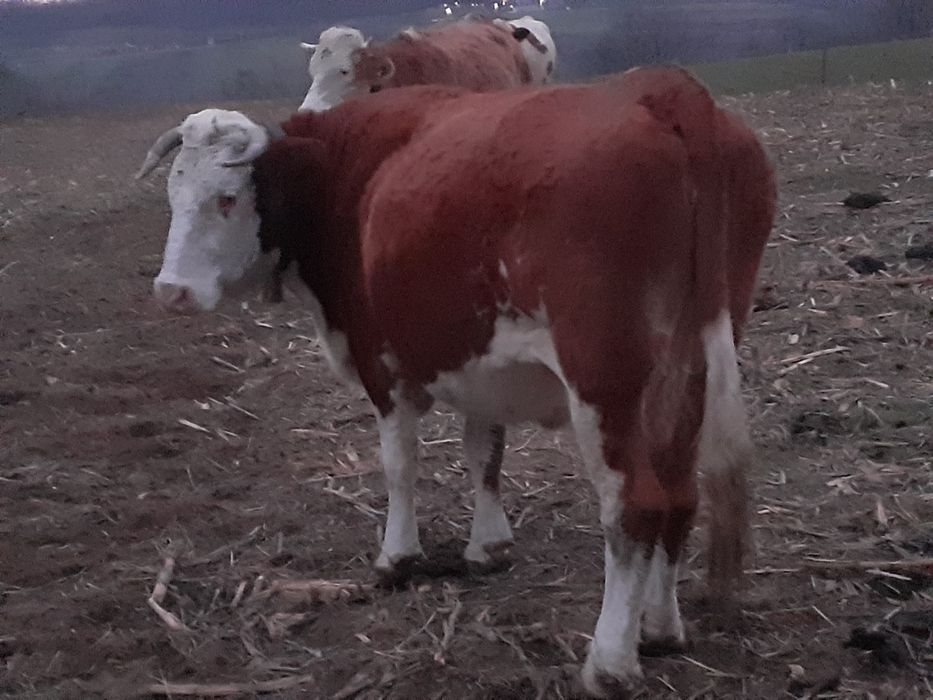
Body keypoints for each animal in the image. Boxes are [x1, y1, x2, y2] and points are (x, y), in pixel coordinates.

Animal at [136, 66, 775, 696]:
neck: (345, 173)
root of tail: (662, 88)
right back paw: (661, 628)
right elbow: (483, 455)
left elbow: (399, 467)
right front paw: (487, 545)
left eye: (226, 199)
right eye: (173, 194)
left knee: (636, 506)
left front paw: (397, 558)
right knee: (680, 492)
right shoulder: (481, 367)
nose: (171, 292)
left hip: (604, 380)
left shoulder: (381, 364)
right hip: (687, 372)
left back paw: (611, 663)